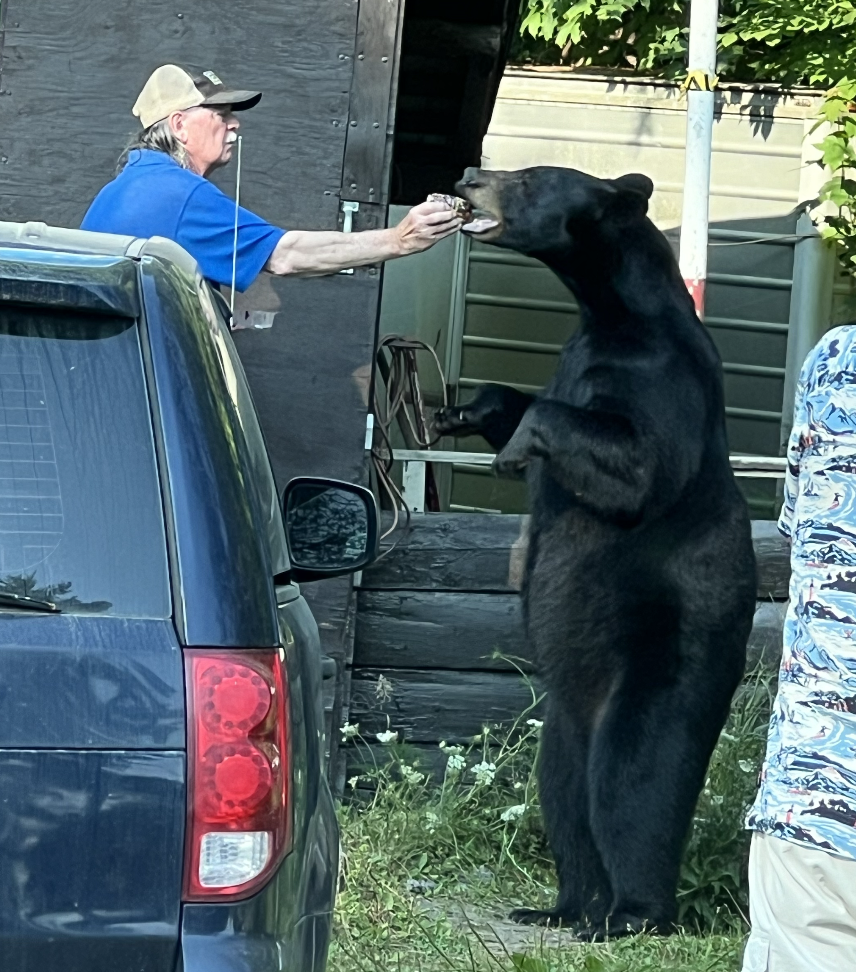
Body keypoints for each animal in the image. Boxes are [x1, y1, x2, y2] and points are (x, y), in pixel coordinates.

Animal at [434, 166, 757, 940]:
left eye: (528, 179)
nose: (471, 174)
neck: (609, 309)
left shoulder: (661, 380)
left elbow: (637, 461)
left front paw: (516, 452)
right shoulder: (576, 355)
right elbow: (526, 400)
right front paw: (467, 410)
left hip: (664, 668)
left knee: (633, 783)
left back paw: (631, 913)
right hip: (562, 721)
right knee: (565, 794)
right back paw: (564, 904)